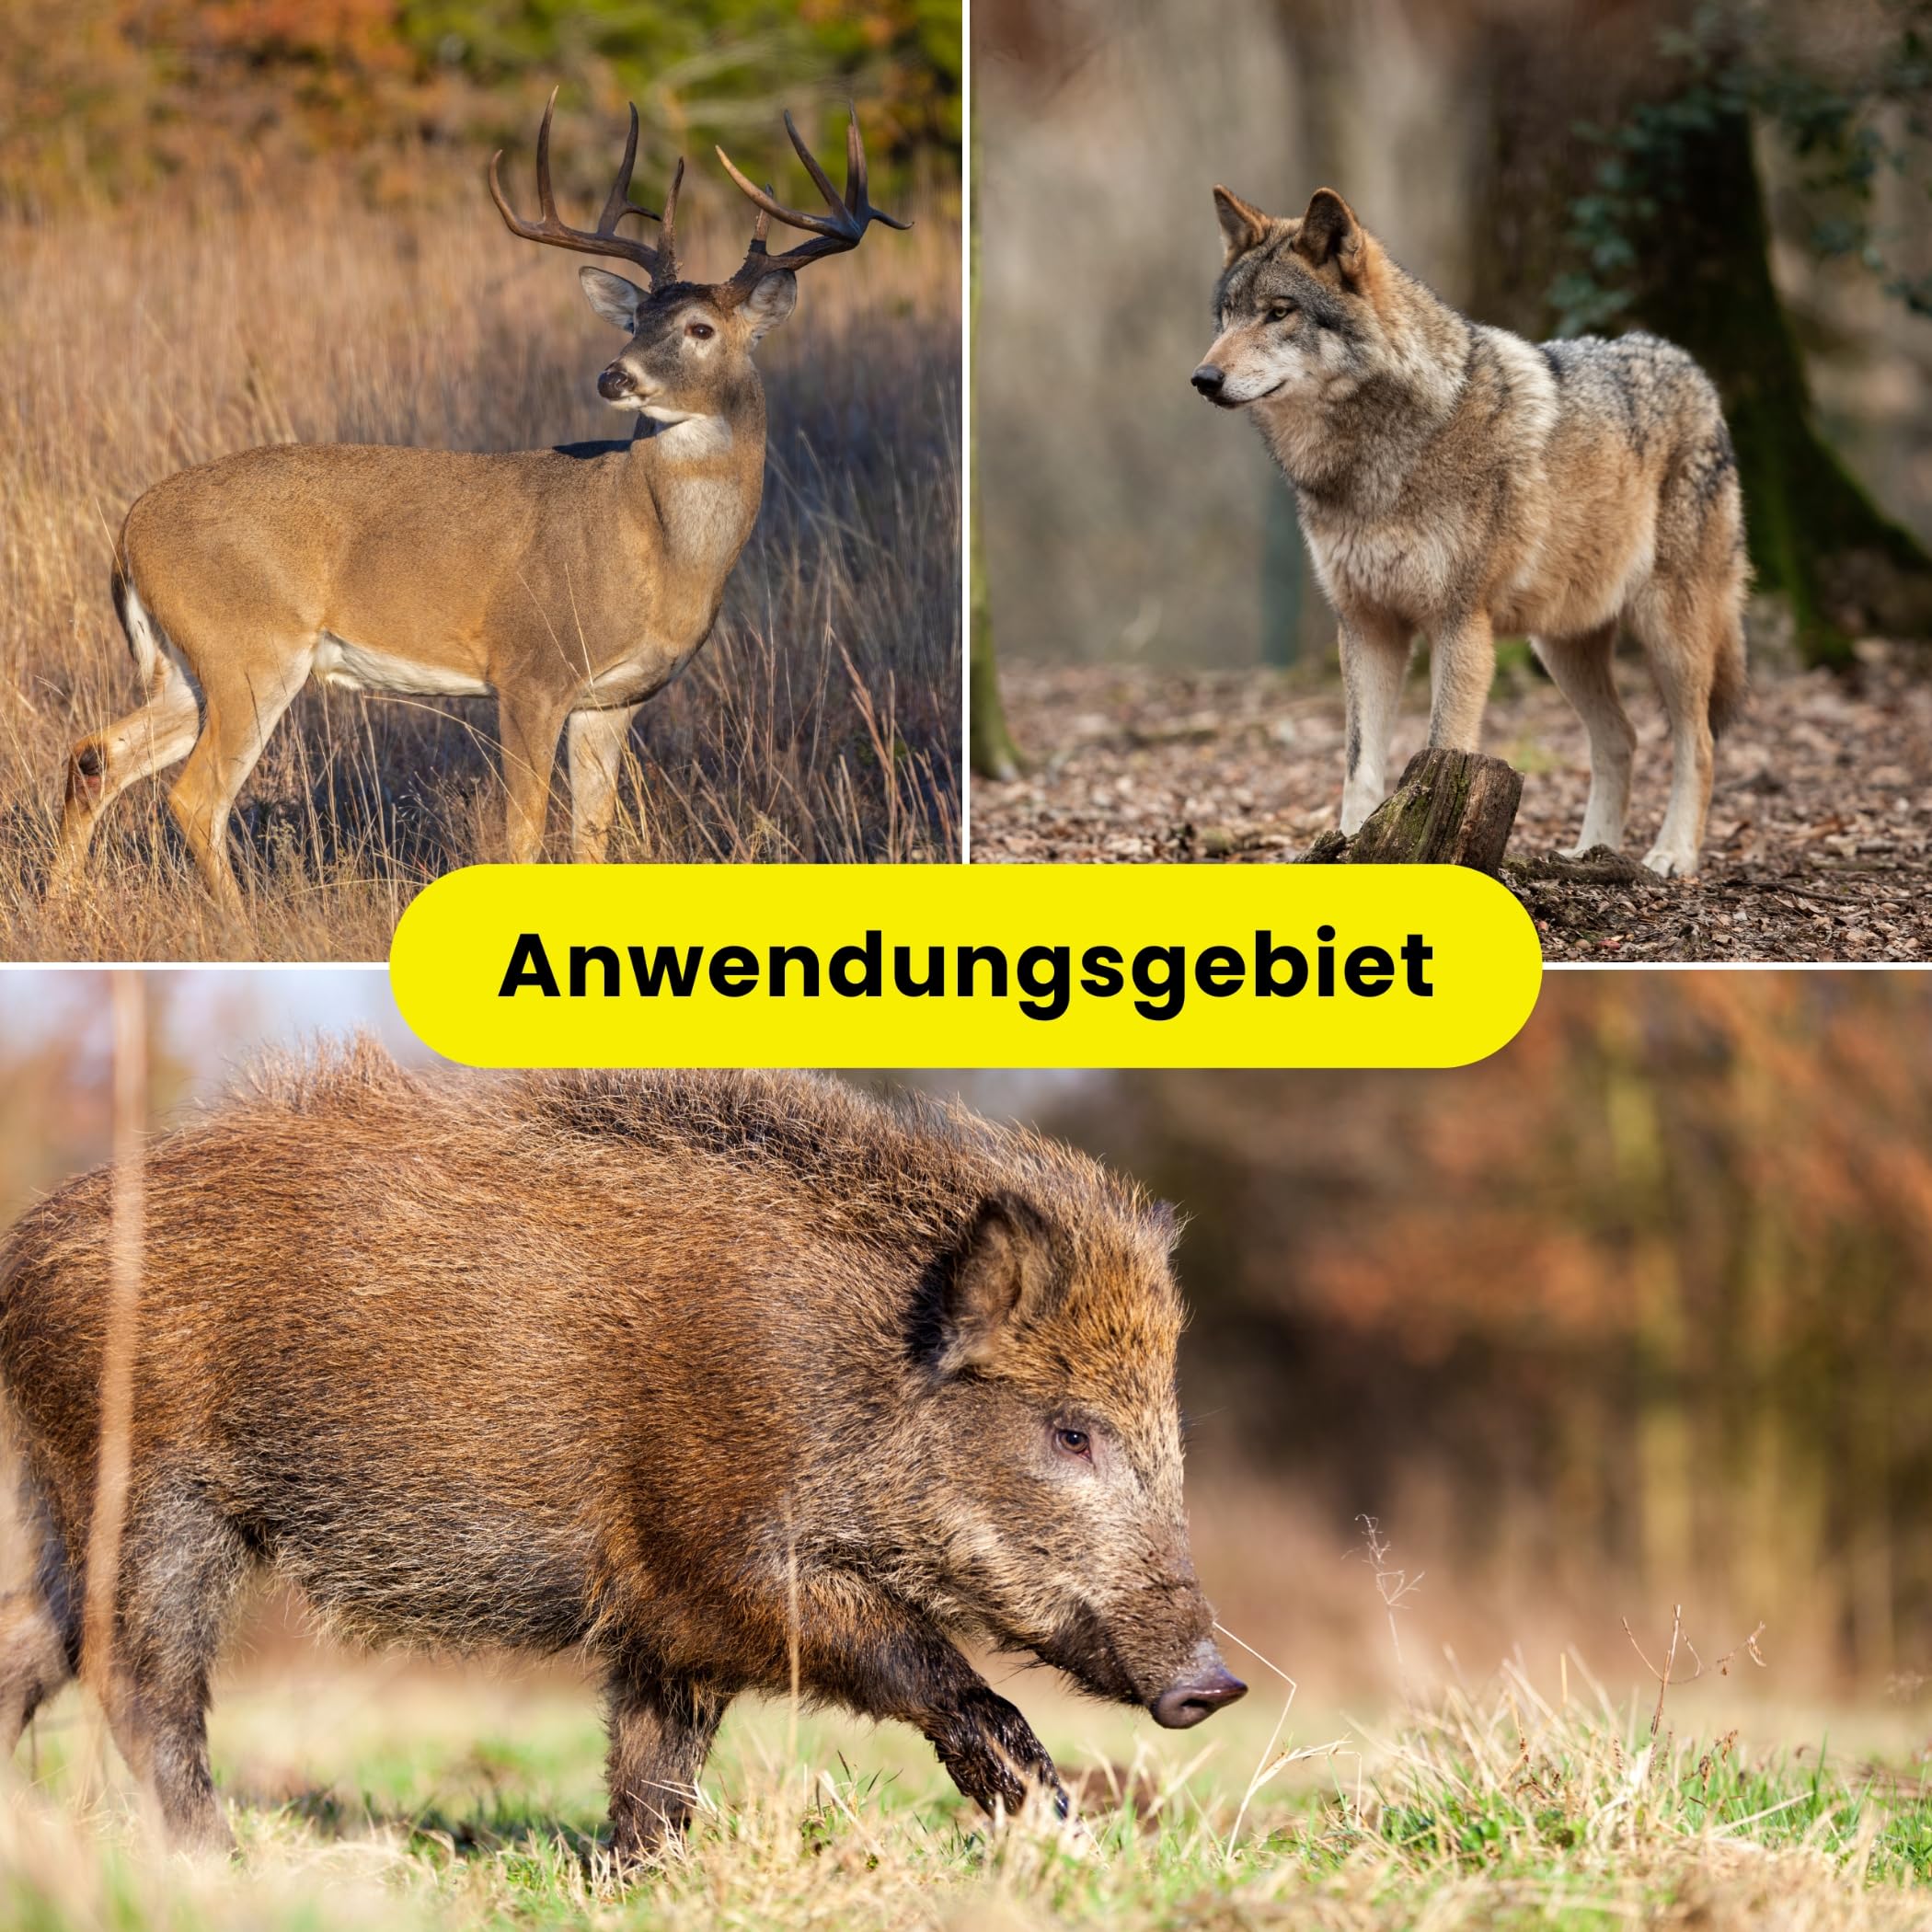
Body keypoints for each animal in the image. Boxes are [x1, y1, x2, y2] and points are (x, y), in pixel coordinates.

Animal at [49, 94, 908, 910]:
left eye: (699, 328)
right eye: (637, 318)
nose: (614, 375)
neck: (653, 549)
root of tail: (129, 530)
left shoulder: (613, 699)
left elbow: (591, 838)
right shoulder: (531, 668)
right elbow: (522, 834)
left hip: (186, 663)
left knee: (96, 754)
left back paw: (69, 908)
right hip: (249, 647)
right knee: (194, 797)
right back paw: (241, 927)